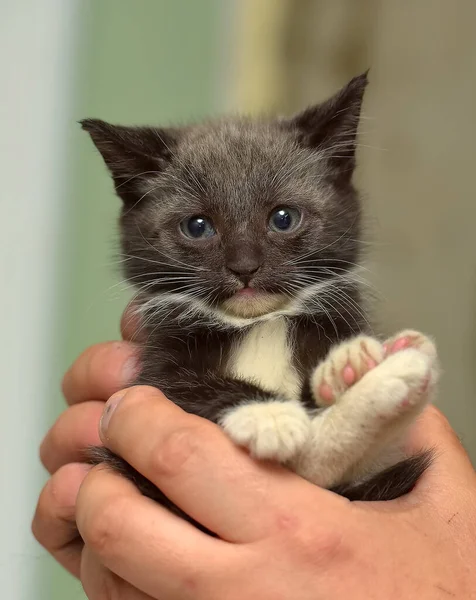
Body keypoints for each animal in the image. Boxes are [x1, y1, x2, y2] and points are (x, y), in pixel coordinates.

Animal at [82, 72, 438, 532]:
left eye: (283, 218)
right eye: (197, 226)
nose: (244, 267)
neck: (260, 323)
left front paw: (349, 358)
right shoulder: (150, 374)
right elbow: (185, 387)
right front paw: (269, 414)